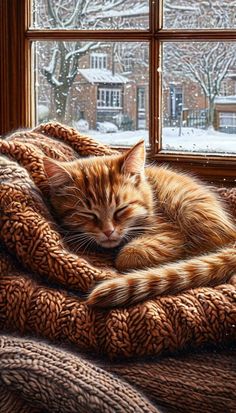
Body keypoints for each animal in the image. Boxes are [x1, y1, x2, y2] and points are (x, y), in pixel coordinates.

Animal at [42, 141, 236, 306]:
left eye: (121, 209)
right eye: (87, 214)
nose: (108, 231)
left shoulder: (170, 233)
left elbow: (127, 256)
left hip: (185, 204)